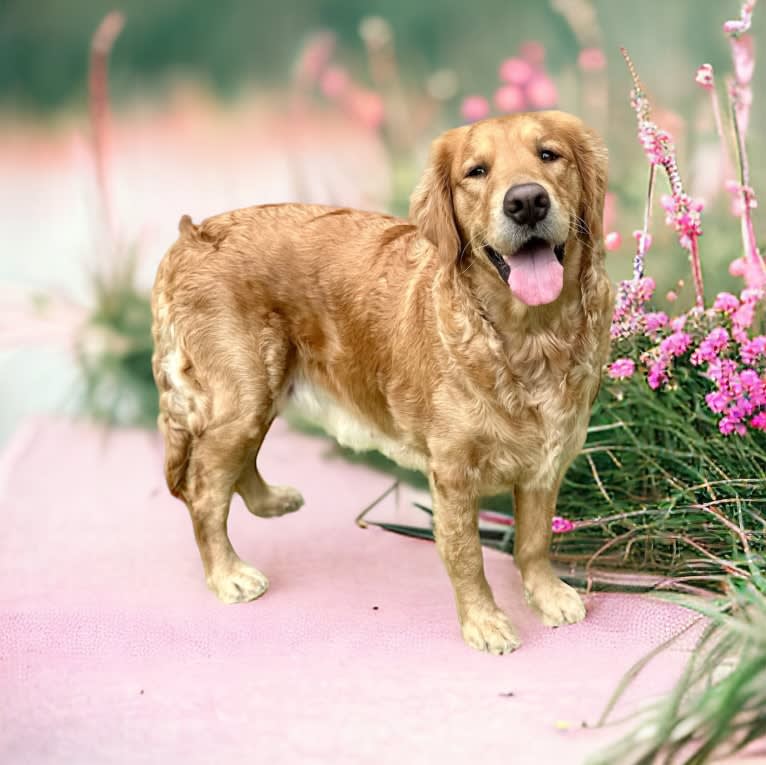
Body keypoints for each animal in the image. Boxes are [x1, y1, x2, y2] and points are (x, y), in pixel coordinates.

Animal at [153, 110, 616, 652]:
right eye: (476, 171)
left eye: (549, 154)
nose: (526, 201)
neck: (530, 338)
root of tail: (190, 236)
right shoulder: (452, 475)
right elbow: (467, 556)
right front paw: (484, 622)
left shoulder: (549, 456)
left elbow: (535, 541)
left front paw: (546, 595)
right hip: (242, 395)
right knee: (206, 487)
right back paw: (228, 573)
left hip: (261, 392)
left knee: (234, 463)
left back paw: (271, 501)